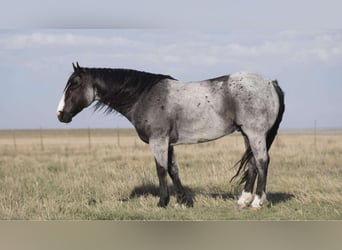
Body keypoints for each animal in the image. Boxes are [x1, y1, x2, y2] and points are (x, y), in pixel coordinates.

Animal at [57, 62, 284, 209]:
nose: (60, 115)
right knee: (253, 164)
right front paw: (183, 201)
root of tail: (271, 83)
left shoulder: (158, 140)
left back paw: (257, 202)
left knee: (262, 162)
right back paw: (243, 200)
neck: (144, 96)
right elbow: (173, 169)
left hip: (255, 133)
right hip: (247, 134)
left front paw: (162, 202)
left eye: (74, 84)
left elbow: (161, 169)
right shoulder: (168, 143)